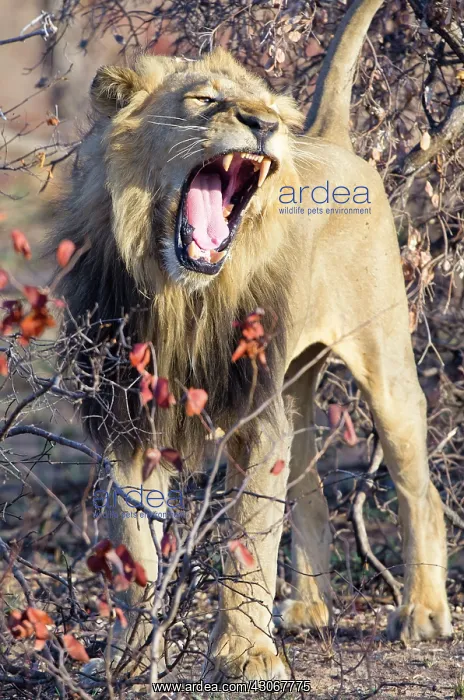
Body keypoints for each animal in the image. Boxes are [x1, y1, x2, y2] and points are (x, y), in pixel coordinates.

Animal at [51, 0, 452, 683]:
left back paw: (423, 612)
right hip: (292, 383)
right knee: (311, 488)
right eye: (205, 99)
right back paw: (308, 607)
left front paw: (244, 654)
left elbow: (247, 534)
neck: (182, 298)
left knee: (418, 489)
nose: (264, 125)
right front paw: (126, 658)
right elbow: (132, 545)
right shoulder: (125, 420)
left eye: (265, 108)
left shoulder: (255, 416)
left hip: (386, 370)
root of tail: (331, 138)